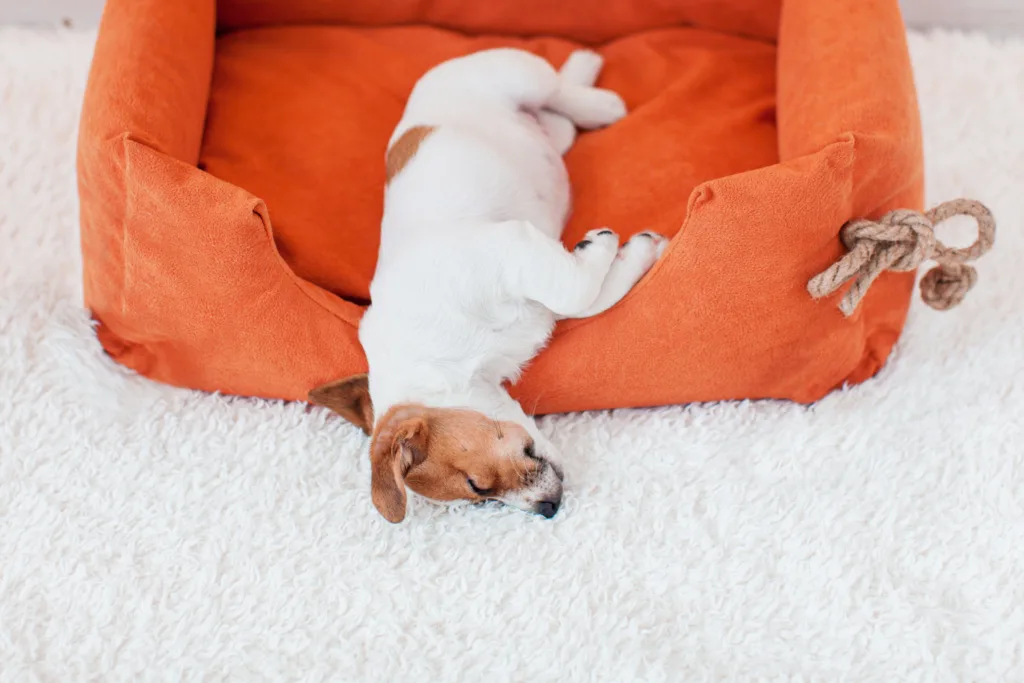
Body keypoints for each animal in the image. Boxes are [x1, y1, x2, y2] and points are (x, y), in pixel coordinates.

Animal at [307, 48, 667, 524]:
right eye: (483, 497)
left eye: (477, 484)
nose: (549, 510)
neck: (449, 361)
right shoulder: (540, 280)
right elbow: (591, 297)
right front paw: (633, 252)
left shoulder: (512, 247)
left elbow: (578, 292)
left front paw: (603, 244)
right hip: (547, 129)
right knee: (559, 124)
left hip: (515, 73)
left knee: (556, 87)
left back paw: (596, 91)